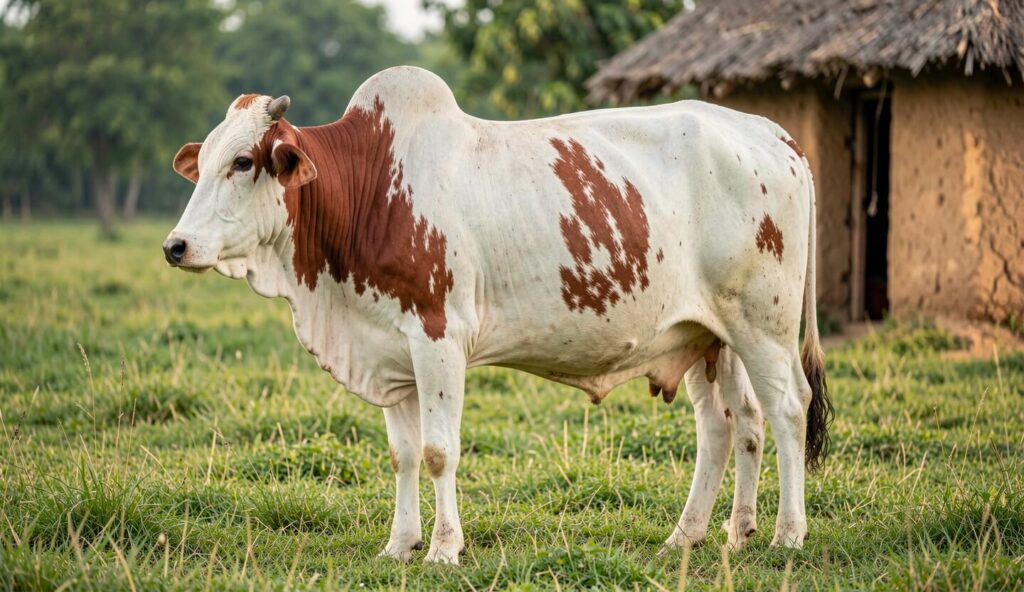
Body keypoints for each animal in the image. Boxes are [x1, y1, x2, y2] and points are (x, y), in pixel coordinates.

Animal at [165, 66, 832, 564]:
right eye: (207, 160)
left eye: (243, 161)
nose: (176, 245)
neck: (371, 191)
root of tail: (773, 134)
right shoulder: (390, 351)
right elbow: (404, 455)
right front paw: (399, 545)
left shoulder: (438, 337)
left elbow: (439, 451)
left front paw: (443, 548)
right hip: (710, 335)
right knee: (731, 424)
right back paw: (705, 534)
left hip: (763, 327)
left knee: (787, 410)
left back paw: (787, 533)